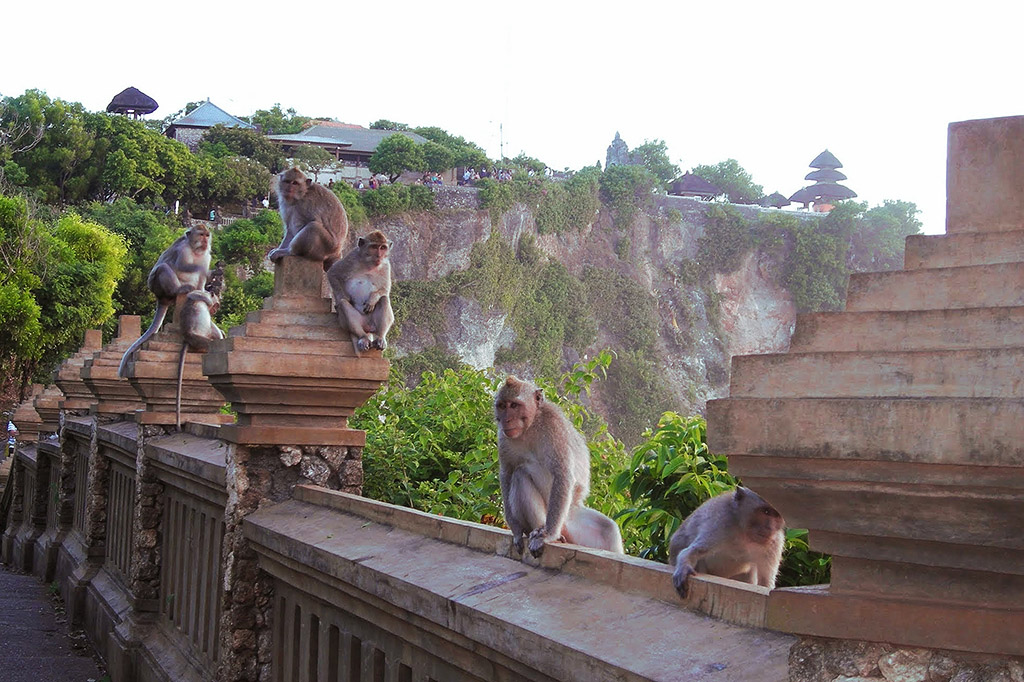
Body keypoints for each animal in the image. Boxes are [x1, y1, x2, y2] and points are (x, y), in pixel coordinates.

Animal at [117, 224, 210, 376]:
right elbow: (182, 265)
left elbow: (201, 276)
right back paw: (179, 289)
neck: (195, 250)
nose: (206, 241)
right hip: (157, 287)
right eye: (201, 234)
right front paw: (203, 270)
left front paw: (203, 291)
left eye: (207, 235)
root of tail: (161, 298)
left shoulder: (206, 255)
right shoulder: (183, 249)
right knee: (163, 267)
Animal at [173, 262, 225, 428]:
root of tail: (187, 339)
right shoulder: (201, 294)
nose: (216, 308)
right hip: (200, 339)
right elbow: (195, 295)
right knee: (210, 342)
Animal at [493, 374, 622, 557]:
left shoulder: (554, 428)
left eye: (514, 405)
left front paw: (547, 536)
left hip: (569, 515)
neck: (531, 426)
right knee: (520, 476)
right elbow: (507, 473)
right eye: (502, 406)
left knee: (608, 529)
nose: (506, 419)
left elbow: (562, 474)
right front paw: (516, 529)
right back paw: (541, 530)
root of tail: (564, 526)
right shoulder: (503, 437)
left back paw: (550, 533)